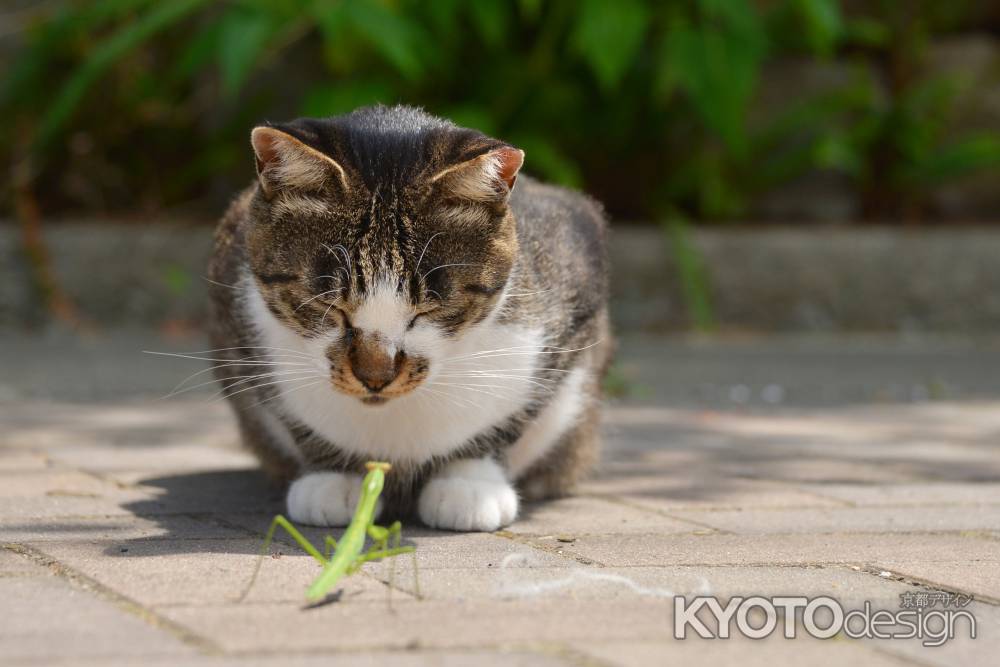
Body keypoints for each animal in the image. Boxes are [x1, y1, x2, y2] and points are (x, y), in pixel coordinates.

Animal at [207, 104, 608, 532]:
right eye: (330, 305)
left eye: (429, 309)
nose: (375, 377)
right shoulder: (236, 322)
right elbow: (291, 414)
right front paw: (334, 477)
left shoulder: (575, 278)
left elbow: (514, 414)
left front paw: (469, 482)